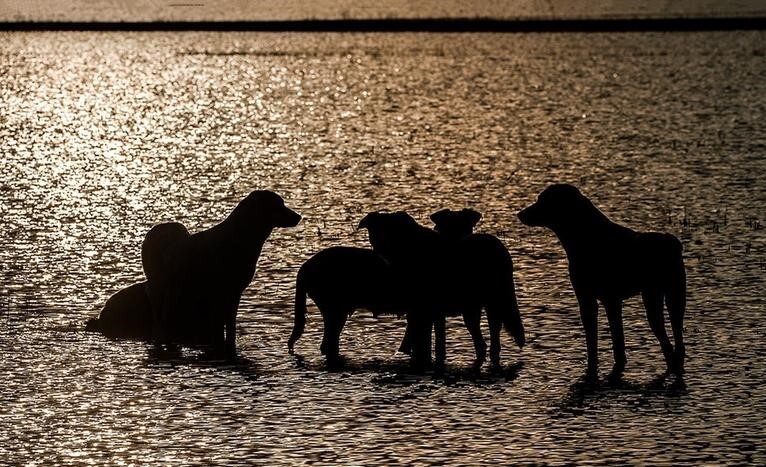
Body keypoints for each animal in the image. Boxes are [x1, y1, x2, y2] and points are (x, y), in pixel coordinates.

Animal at [142, 191, 302, 354]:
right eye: (278, 205)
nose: (299, 216)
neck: (241, 237)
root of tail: (153, 232)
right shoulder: (219, 292)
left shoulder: (234, 292)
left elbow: (229, 326)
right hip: (160, 285)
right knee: (160, 313)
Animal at [520, 185, 688, 378]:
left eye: (543, 200)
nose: (520, 214)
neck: (588, 237)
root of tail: (673, 242)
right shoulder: (588, 300)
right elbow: (595, 342)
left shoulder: (609, 301)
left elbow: (616, 341)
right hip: (669, 296)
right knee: (675, 338)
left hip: (660, 296)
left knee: (667, 338)